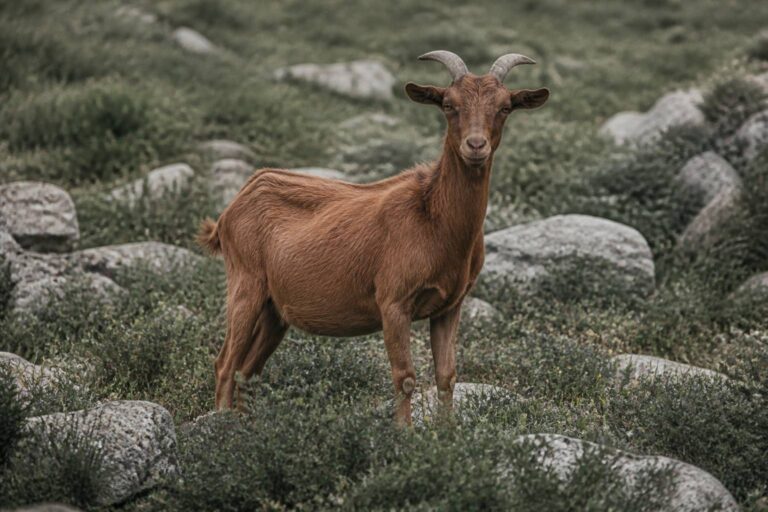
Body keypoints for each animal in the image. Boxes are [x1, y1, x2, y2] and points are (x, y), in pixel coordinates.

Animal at [198, 50, 549, 425]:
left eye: (505, 107)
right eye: (448, 104)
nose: (476, 145)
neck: (434, 218)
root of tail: (233, 207)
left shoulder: (449, 306)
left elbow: (447, 375)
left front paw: (447, 433)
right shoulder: (393, 301)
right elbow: (405, 377)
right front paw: (403, 433)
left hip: (274, 311)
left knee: (246, 370)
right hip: (245, 284)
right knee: (225, 364)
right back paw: (220, 424)